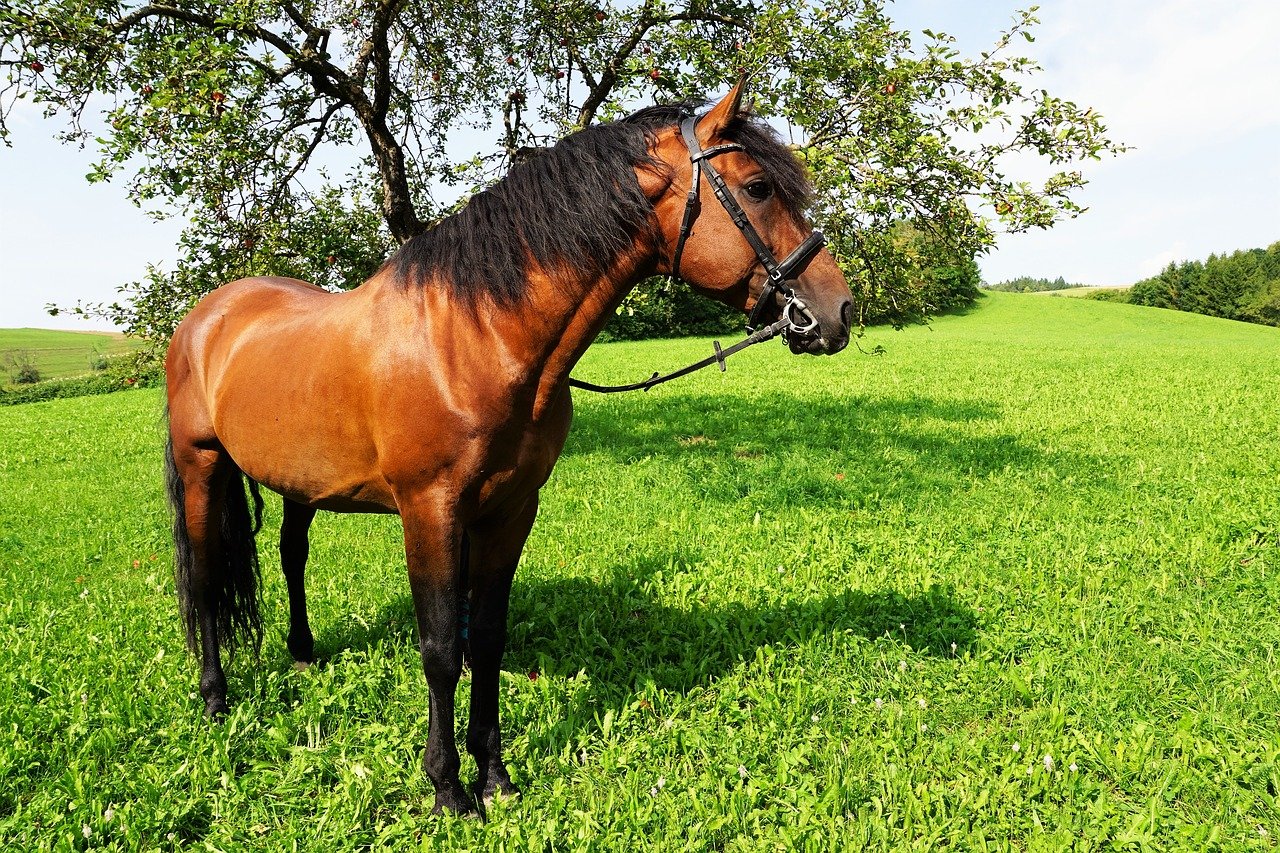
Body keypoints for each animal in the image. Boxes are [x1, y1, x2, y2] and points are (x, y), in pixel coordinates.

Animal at [163, 81, 853, 816]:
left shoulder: (511, 508)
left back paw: (301, 651)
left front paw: (493, 774)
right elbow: (441, 648)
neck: (476, 336)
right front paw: (446, 786)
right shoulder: (430, 510)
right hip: (202, 465)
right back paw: (215, 699)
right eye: (757, 188)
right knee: (204, 579)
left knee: (292, 555)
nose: (837, 311)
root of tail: (204, 317)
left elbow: (487, 639)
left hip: (301, 482)